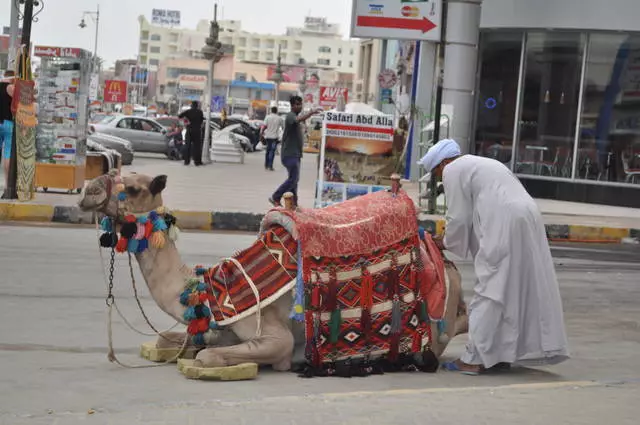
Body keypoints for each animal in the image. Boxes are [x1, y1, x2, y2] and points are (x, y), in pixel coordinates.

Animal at [77, 171, 468, 372]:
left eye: (132, 188)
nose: (87, 189)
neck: (208, 290)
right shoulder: (221, 327)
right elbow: (168, 339)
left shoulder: (273, 336)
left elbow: (209, 356)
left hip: (433, 328)